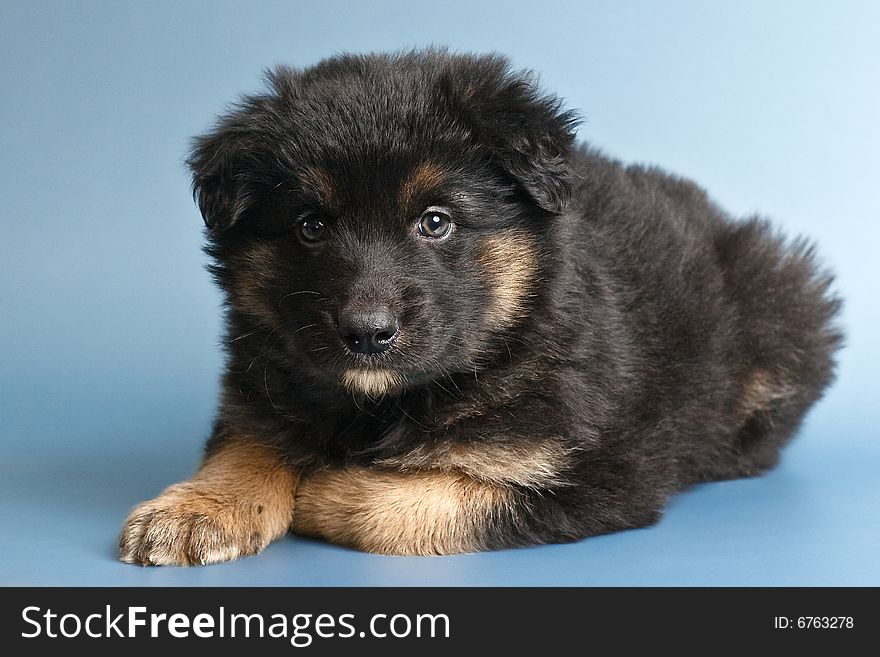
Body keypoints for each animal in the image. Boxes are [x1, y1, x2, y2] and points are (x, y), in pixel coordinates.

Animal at [117, 51, 840, 564]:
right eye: (311, 227)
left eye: (435, 222)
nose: (366, 333)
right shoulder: (265, 386)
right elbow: (245, 444)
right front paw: (196, 509)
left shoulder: (603, 469)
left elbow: (414, 502)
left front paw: (326, 491)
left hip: (781, 303)